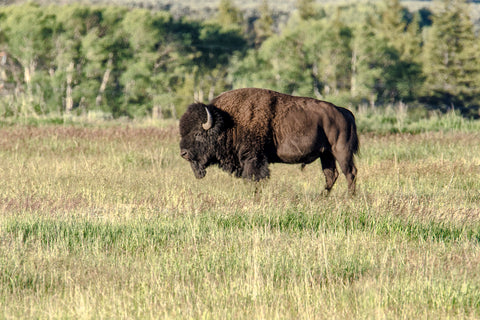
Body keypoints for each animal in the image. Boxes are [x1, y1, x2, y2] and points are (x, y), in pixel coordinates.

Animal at [180, 87, 360, 194]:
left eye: (197, 134)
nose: (183, 153)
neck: (228, 121)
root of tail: (344, 112)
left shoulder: (253, 158)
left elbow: (254, 178)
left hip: (341, 151)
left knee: (350, 173)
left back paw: (349, 198)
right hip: (326, 154)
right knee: (331, 175)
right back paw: (322, 197)